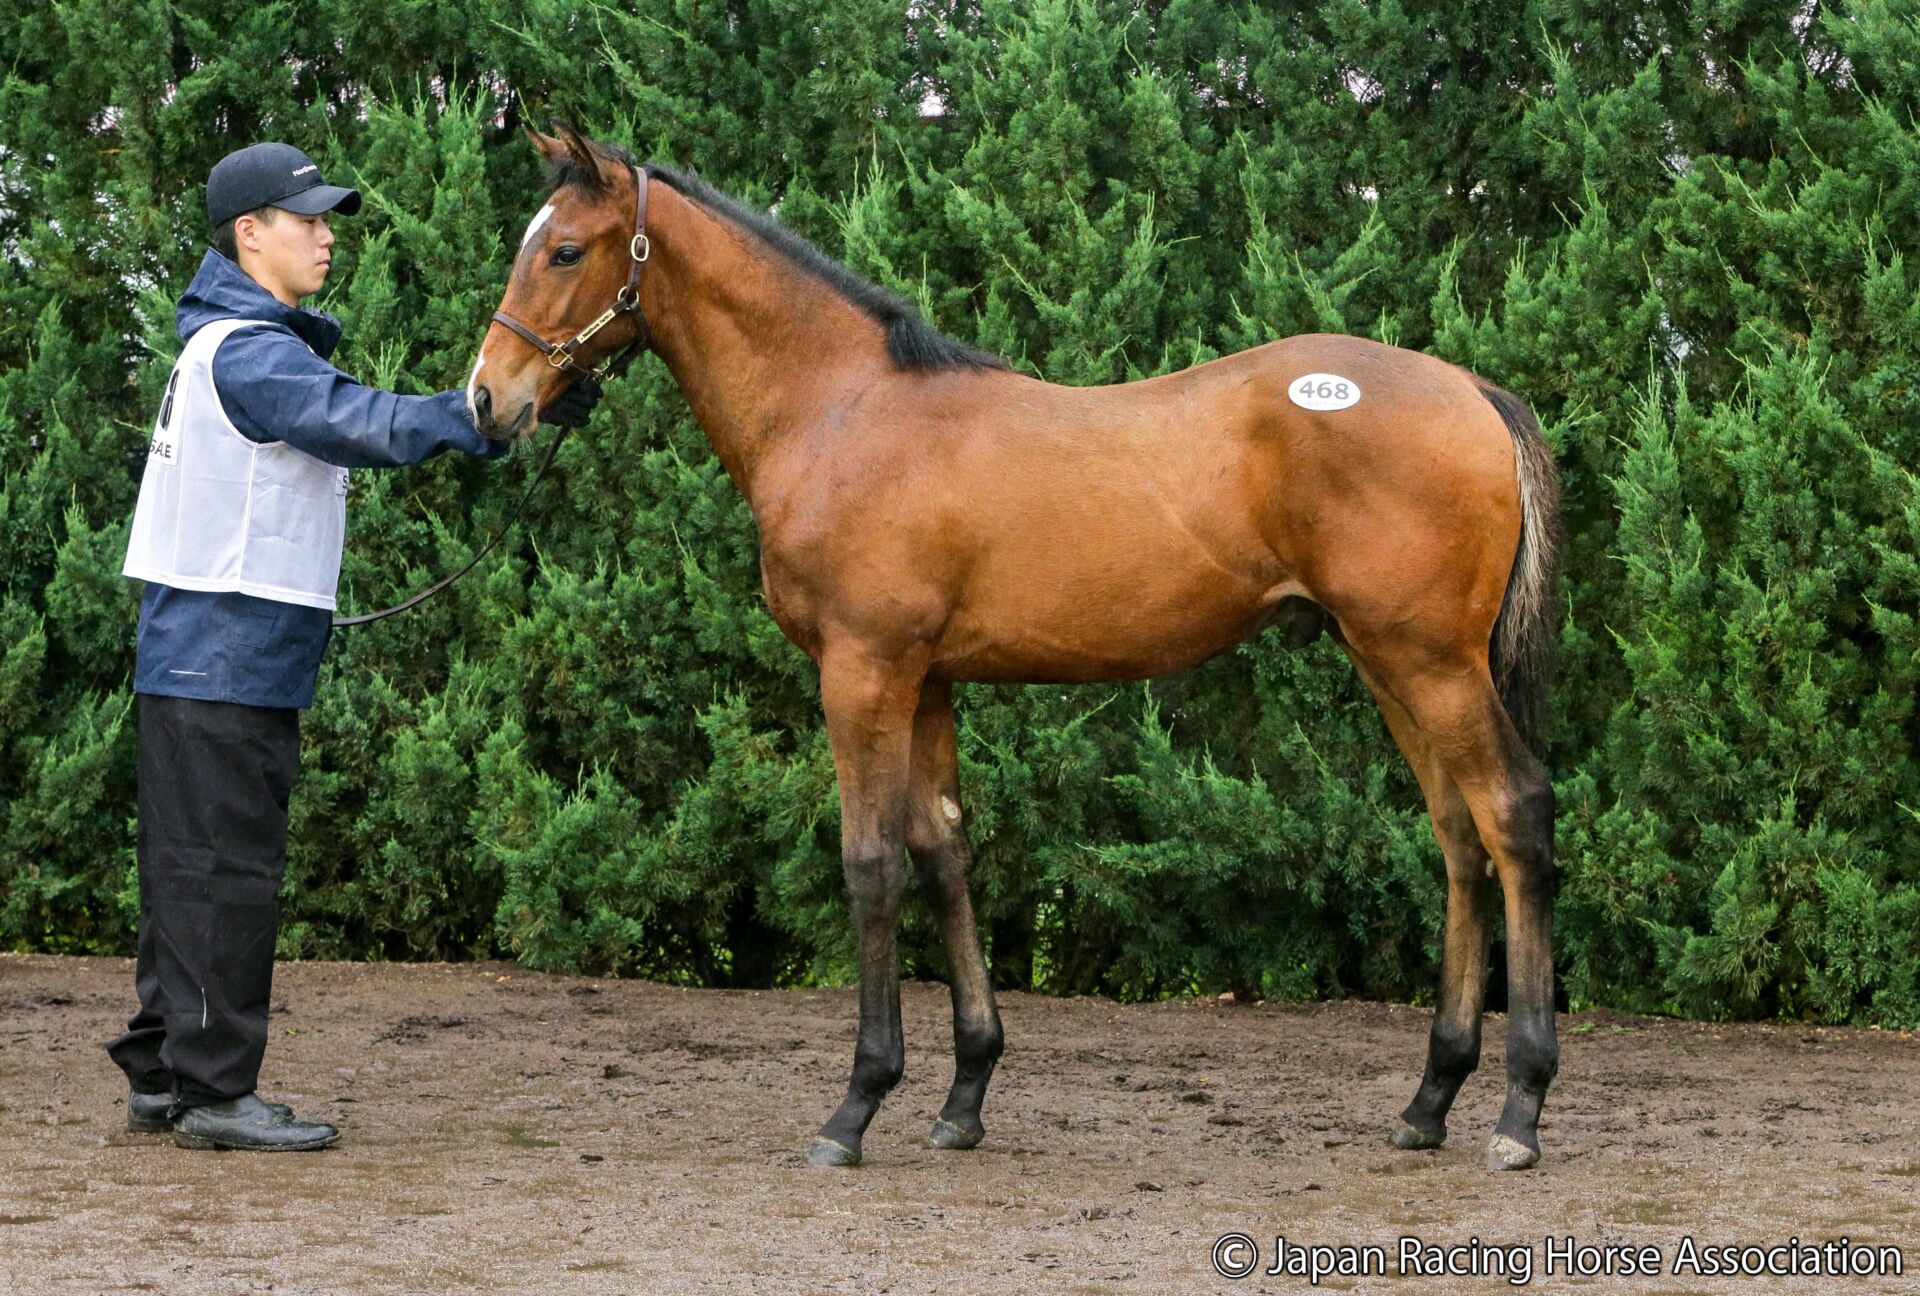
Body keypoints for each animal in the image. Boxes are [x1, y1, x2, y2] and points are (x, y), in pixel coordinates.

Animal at [468, 123, 1563, 1173]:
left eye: (565, 249)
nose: (487, 401)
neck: (844, 411)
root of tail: (1471, 390)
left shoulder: (863, 671)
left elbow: (871, 862)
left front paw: (856, 1106)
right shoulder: (928, 681)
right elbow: (944, 851)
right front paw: (962, 1098)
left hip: (1431, 662)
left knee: (1512, 815)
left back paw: (1520, 1109)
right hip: (1387, 662)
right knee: (1458, 834)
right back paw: (1429, 1101)